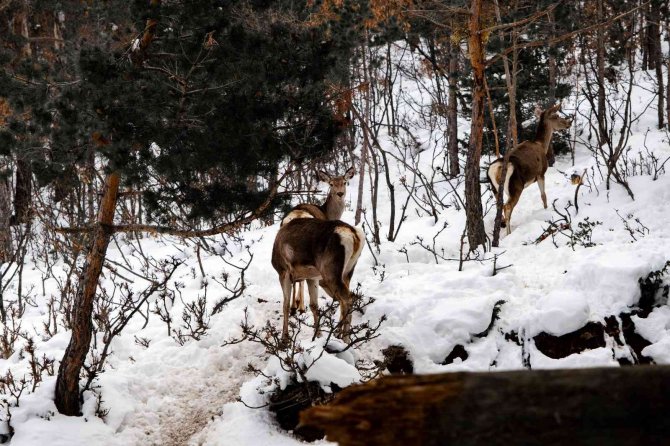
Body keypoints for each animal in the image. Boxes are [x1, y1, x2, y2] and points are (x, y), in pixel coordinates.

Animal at [280, 166, 356, 314]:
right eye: (331, 184)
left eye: (344, 182)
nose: (340, 193)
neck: (326, 212)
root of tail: (296, 216)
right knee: (301, 279)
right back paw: (300, 306)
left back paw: (293, 306)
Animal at [486, 103, 576, 235]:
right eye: (556, 116)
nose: (569, 122)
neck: (542, 145)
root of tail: (495, 169)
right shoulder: (541, 173)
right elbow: (543, 195)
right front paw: (546, 210)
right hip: (516, 186)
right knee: (507, 207)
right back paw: (509, 233)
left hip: (495, 189)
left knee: (500, 206)